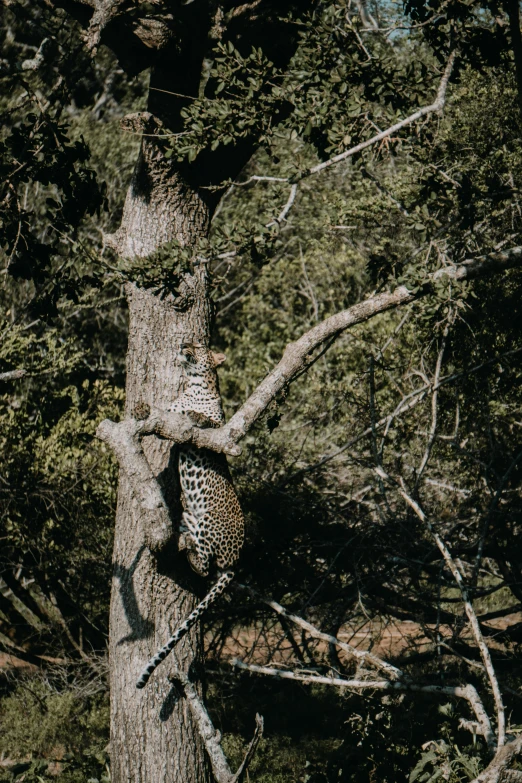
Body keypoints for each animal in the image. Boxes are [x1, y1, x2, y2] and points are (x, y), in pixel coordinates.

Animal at [135, 346, 243, 688]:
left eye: (200, 347)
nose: (184, 344)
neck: (194, 385)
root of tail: (236, 560)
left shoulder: (221, 428)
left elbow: (208, 421)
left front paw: (197, 416)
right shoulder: (170, 410)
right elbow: (161, 411)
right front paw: (141, 407)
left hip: (209, 520)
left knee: (207, 566)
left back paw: (189, 551)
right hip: (188, 517)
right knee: (201, 560)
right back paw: (184, 544)